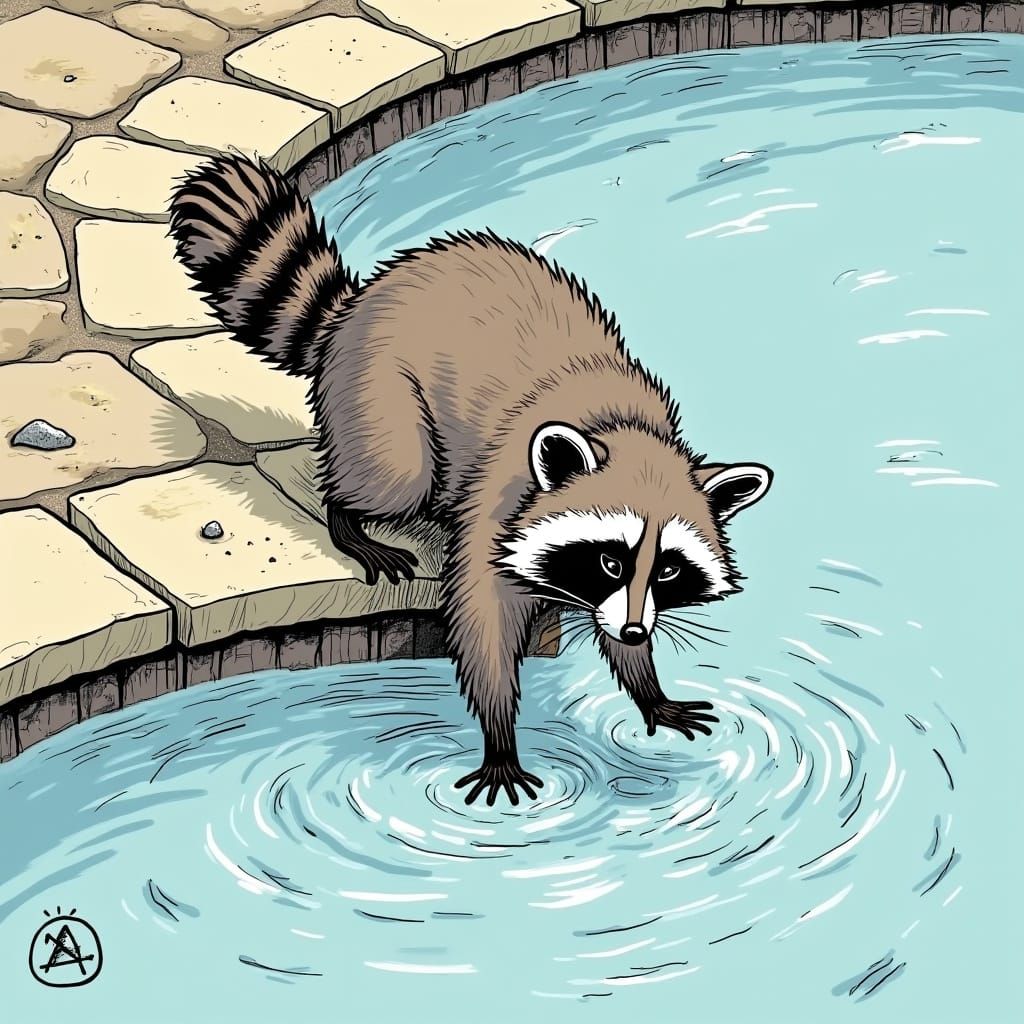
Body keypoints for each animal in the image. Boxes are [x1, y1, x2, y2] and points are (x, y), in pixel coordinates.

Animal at [168, 155, 773, 807]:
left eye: (667, 570)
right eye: (610, 560)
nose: (638, 631)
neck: (622, 432)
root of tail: (360, 303)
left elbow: (604, 621)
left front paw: (646, 684)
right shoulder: (505, 492)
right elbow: (483, 616)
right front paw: (500, 735)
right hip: (379, 392)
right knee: (392, 474)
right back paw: (348, 518)